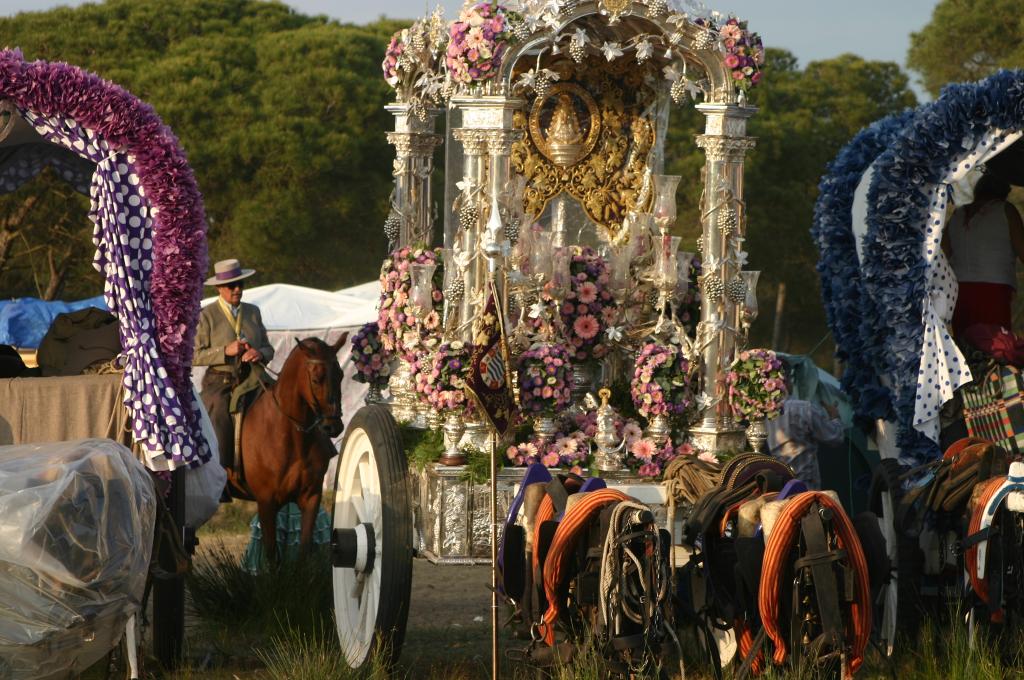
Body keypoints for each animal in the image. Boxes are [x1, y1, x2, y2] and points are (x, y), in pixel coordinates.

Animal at [228, 333, 348, 561]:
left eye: (341, 375)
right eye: (316, 379)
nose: (333, 426)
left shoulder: (311, 498)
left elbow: (303, 551)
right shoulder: (266, 502)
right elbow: (271, 555)